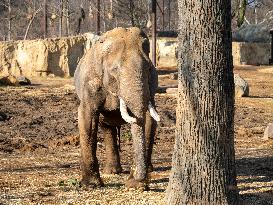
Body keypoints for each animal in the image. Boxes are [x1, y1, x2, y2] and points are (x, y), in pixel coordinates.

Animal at [74, 27, 159, 191]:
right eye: (115, 70)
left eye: (149, 68)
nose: (139, 181)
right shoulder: (91, 84)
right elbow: (87, 117)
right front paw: (91, 185)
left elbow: (149, 119)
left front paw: (136, 185)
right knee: (106, 125)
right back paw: (112, 171)